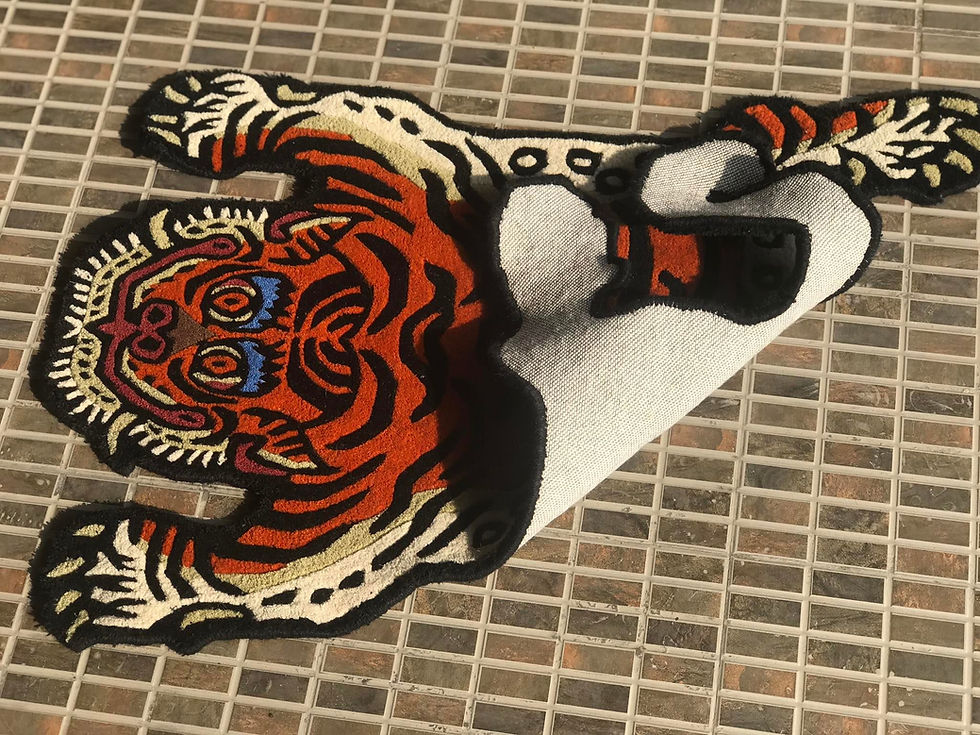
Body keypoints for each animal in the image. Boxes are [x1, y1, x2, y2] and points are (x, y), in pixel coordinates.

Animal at [28, 70, 980, 652]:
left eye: (233, 315)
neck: (382, 334)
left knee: (795, 147)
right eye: (213, 364)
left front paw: (131, 578)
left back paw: (911, 136)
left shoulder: (413, 169)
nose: (147, 330)